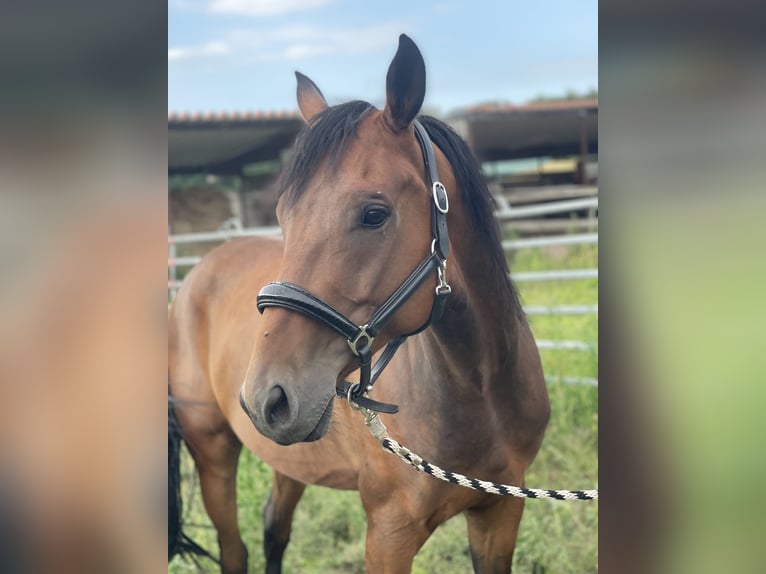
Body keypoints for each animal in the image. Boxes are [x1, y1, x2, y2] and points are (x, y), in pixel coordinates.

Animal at [168, 33, 552, 572]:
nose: (266, 396)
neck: (480, 389)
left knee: (274, 528)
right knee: (234, 549)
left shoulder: (500, 514)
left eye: (374, 214)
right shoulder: (389, 533)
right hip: (214, 453)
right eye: (284, 216)